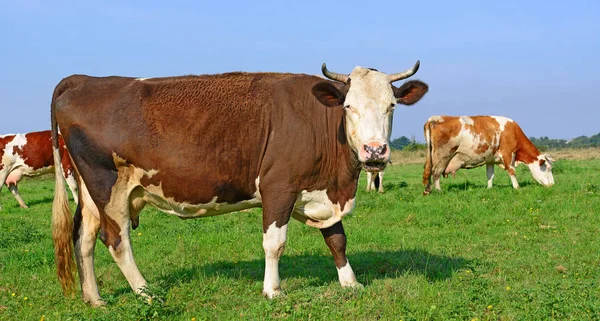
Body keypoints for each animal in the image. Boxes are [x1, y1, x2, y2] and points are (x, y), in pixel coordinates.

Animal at [50, 61, 426, 304]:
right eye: (348, 106)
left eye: (392, 105)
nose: (375, 151)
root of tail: (83, 80)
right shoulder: (279, 187)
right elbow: (274, 244)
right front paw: (273, 290)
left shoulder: (322, 190)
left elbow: (337, 239)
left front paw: (350, 284)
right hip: (107, 184)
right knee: (116, 240)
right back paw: (146, 293)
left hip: (88, 190)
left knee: (83, 239)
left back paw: (94, 298)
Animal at [422, 116, 552, 194]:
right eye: (548, 168)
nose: (552, 185)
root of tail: (436, 118)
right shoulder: (508, 154)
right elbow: (512, 172)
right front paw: (517, 187)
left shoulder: (490, 159)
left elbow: (490, 174)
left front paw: (489, 188)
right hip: (442, 157)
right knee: (436, 173)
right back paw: (439, 190)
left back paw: (428, 190)